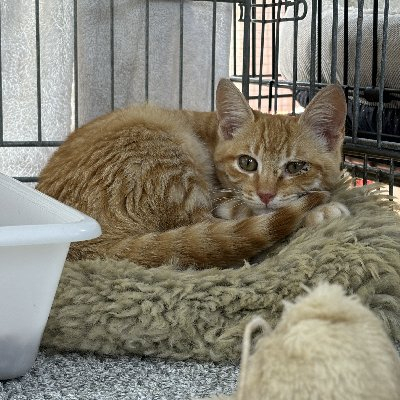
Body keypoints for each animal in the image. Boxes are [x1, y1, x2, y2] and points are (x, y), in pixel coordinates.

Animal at [37, 79, 348, 269]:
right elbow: (251, 211)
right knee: (212, 234)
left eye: (295, 167)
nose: (266, 194)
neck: (214, 132)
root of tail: (86, 246)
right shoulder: (223, 197)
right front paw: (321, 209)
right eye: (247, 163)